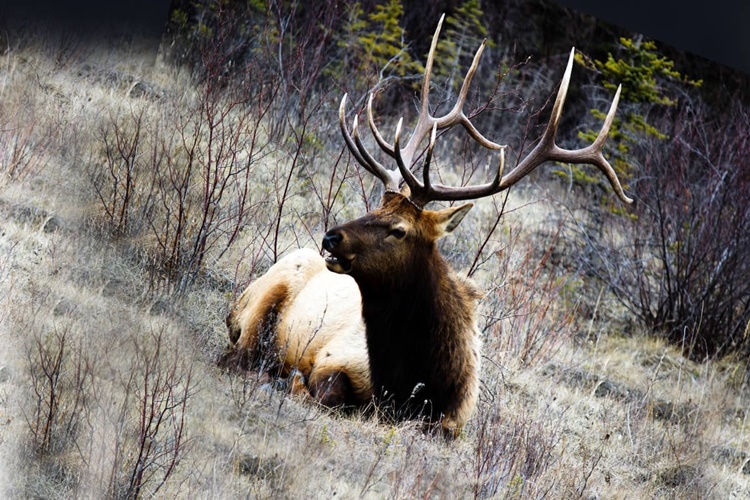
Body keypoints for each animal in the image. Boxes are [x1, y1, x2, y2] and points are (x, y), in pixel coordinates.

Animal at [226, 14, 632, 438]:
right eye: (374, 206)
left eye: (399, 229)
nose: (332, 236)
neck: (413, 377)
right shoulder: (333, 357)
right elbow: (322, 391)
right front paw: (287, 381)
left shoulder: (453, 420)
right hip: (264, 300)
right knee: (238, 354)